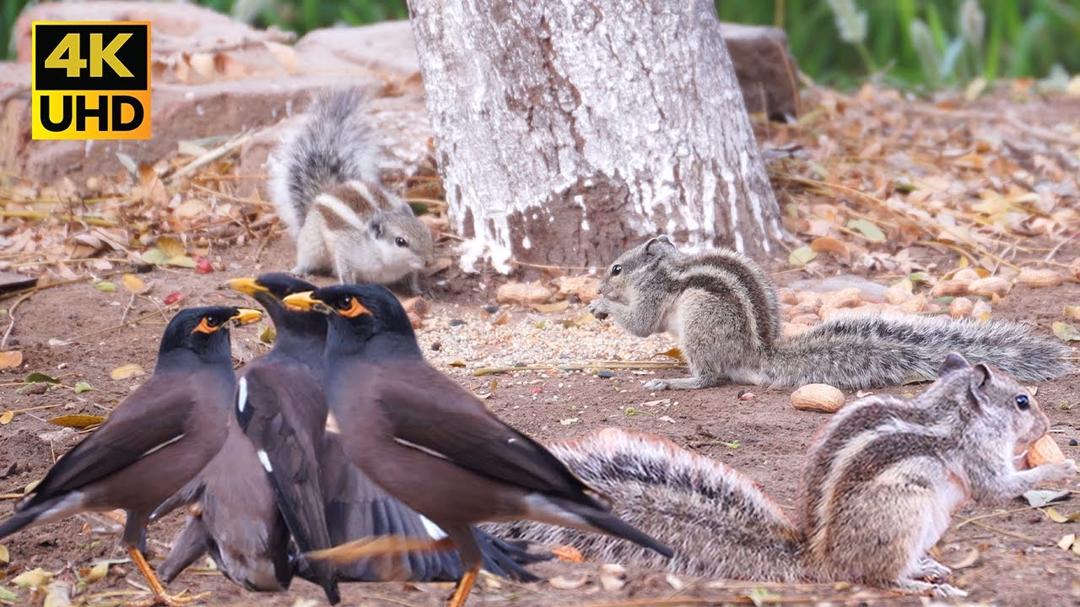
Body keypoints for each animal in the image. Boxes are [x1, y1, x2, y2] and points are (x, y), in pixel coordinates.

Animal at [268, 89, 434, 292]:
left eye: (426, 231)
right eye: (400, 241)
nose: (428, 261)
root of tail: (329, 189)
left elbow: (412, 277)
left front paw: (418, 290)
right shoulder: (345, 249)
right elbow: (345, 269)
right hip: (312, 244)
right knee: (307, 257)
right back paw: (298, 270)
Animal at [492, 353, 1078, 597]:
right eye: (1022, 401)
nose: (1048, 425)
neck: (951, 413)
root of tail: (817, 561)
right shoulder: (977, 458)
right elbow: (997, 488)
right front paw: (1062, 463)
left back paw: (929, 567)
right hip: (902, 514)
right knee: (876, 576)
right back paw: (920, 584)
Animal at [587, 236, 1072, 390]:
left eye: (616, 268)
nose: (598, 286)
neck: (667, 269)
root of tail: (758, 356)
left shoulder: (653, 297)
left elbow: (641, 325)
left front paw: (602, 304)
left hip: (699, 324)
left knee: (709, 377)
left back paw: (677, 379)